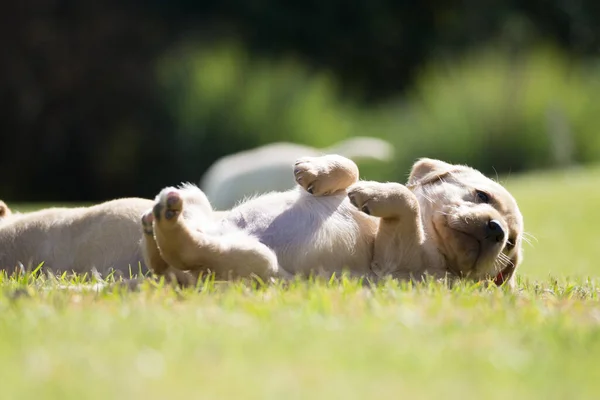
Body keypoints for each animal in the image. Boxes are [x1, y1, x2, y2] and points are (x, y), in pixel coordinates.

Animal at [143, 155, 524, 288]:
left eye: (510, 244)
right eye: (482, 196)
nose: (496, 230)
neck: (430, 236)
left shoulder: (391, 263)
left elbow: (407, 202)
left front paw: (375, 194)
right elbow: (351, 167)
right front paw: (316, 171)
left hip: (255, 263)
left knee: (187, 251)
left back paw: (167, 221)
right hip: (197, 198)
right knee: (162, 258)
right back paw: (152, 220)